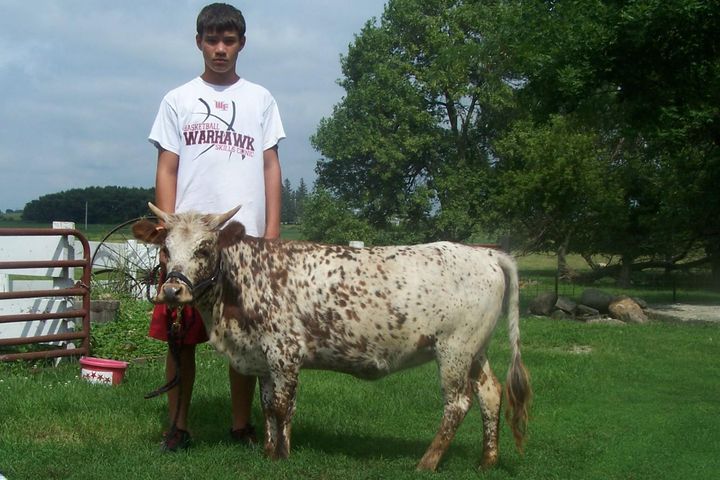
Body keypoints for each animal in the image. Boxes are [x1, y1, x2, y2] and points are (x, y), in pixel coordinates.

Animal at [132, 203, 531, 472]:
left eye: (203, 248)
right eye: (165, 249)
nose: (172, 291)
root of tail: (484, 253)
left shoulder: (284, 351)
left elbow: (282, 406)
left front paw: (282, 457)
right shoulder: (262, 356)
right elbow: (267, 404)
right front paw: (268, 452)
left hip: (454, 348)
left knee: (458, 403)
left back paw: (427, 463)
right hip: (475, 349)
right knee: (490, 393)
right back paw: (487, 460)